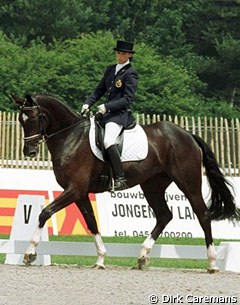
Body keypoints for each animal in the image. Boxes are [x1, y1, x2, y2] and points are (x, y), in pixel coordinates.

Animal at [13, 93, 240, 270]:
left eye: (35, 118)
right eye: (21, 121)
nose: (29, 151)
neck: (71, 137)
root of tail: (188, 135)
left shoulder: (75, 189)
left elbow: (45, 212)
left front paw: (29, 253)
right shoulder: (80, 193)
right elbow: (92, 223)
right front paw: (101, 258)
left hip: (188, 184)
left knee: (203, 215)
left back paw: (212, 263)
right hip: (152, 186)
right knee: (164, 215)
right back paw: (142, 256)